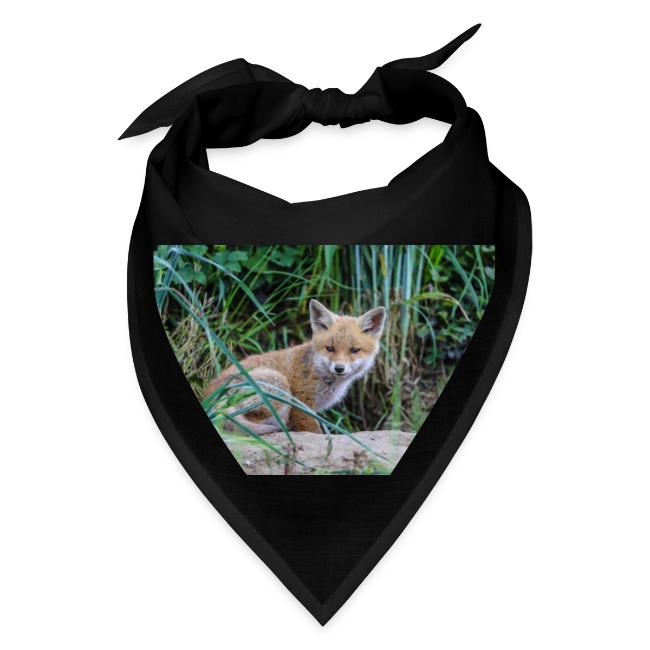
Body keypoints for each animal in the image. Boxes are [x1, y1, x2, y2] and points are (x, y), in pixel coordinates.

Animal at [205, 299, 386, 434]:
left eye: (354, 350)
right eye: (330, 349)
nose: (339, 368)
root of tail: (209, 397)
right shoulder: (301, 403)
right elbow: (313, 431)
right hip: (278, 384)